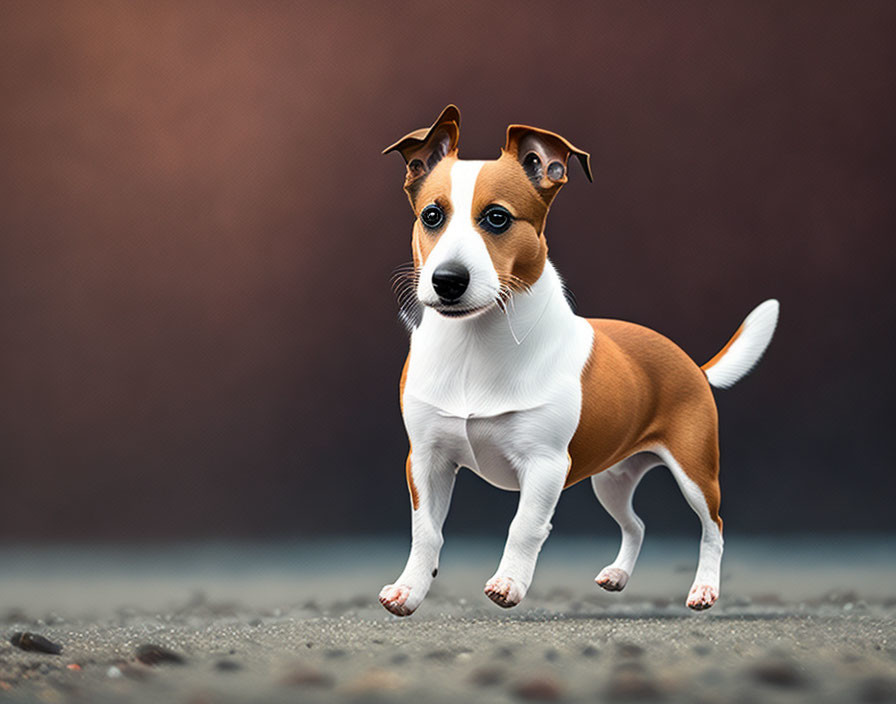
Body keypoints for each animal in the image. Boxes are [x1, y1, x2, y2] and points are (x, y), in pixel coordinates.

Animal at [378, 104, 776, 616]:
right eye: (431, 215)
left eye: (497, 219)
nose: (447, 280)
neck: (476, 343)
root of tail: (691, 363)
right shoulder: (426, 460)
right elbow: (425, 530)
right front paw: (409, 589)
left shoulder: (545, 464)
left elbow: (524, 526)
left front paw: (508, 582)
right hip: (612, 478)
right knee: (636, 524)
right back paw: (618, 575)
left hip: (696, 470)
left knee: (714, 528)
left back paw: (704, 589)